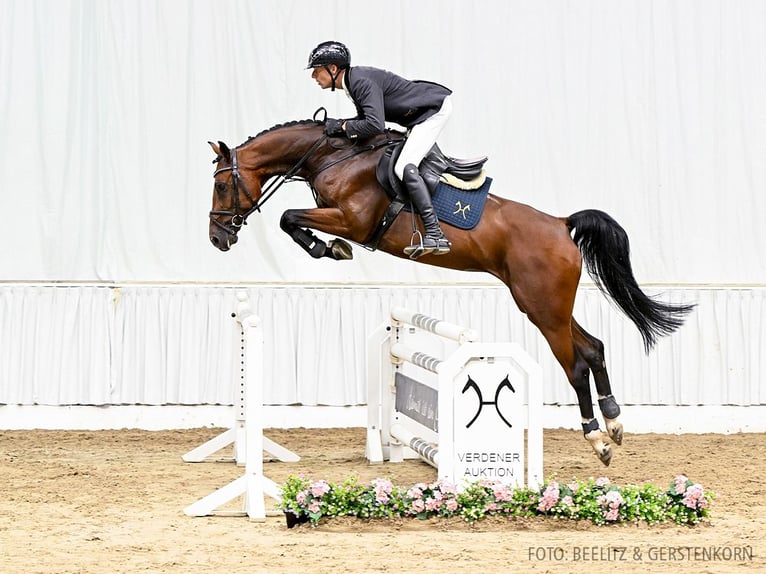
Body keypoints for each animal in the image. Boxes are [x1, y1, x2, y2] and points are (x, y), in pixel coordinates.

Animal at [208, 113, 696, 468]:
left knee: (575, 363)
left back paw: (598, 440)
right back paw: (614, 423)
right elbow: (290, 217)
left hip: (542, 307)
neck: (333, 156)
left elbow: (288, 217)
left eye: (221, 184)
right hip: (544, 303)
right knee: (593, 347)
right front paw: (327, 248)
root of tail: (561, 225)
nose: (217, 238)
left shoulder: (352, 220)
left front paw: (326, 248)